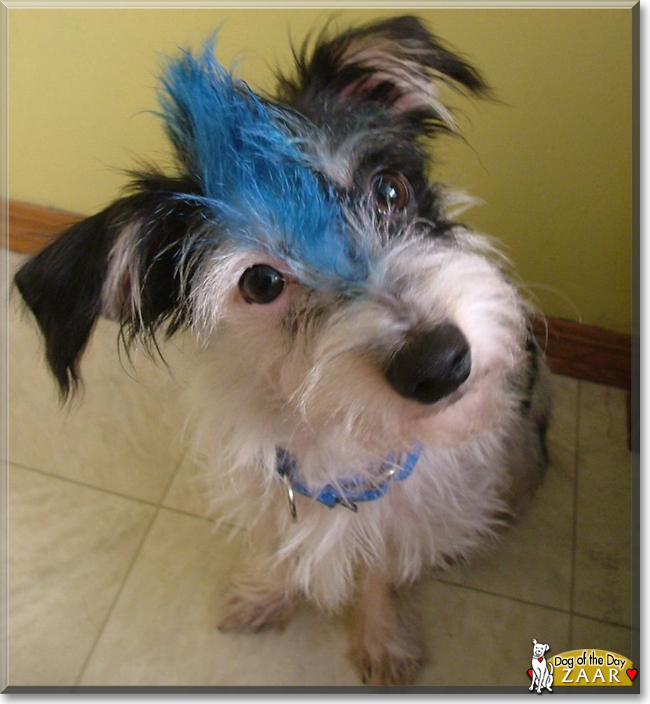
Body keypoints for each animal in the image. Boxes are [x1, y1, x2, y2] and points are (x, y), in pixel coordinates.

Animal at [14, 16, 552, 686]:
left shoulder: (399, 505)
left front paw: (382, 640)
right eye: (262, 282)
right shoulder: (267, 481)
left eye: (391, 190)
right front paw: (265, 595)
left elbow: (377, 569)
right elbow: (280, 545)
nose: (440, 362)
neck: (335, 429)